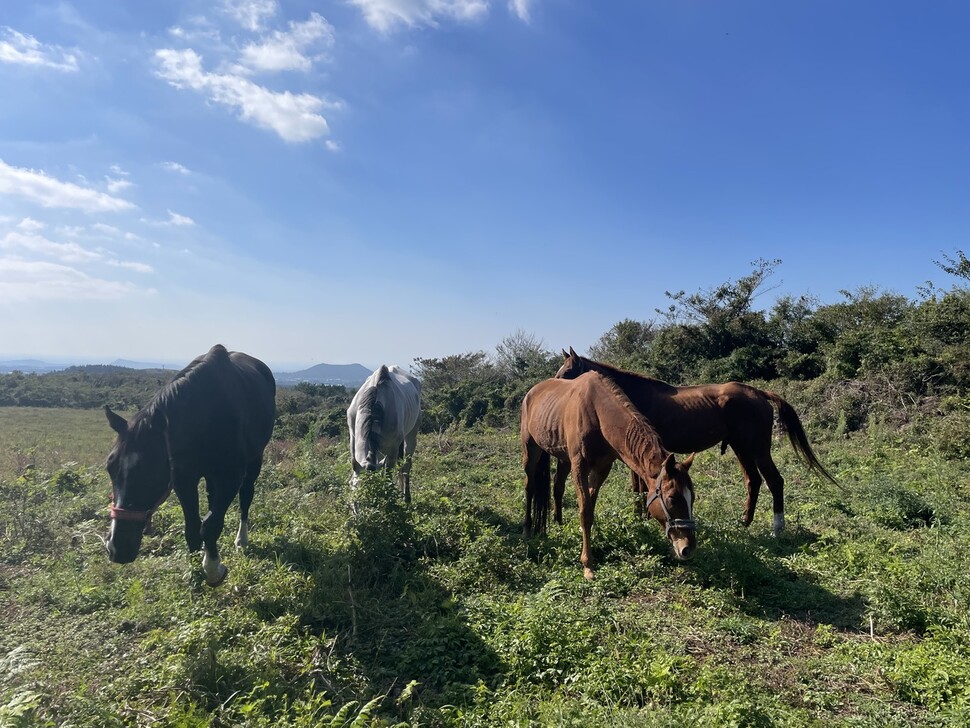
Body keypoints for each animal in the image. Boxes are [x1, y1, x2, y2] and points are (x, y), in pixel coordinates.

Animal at [103, 342, 274, 584]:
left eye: (151, 472)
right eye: (110, 467)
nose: (116, 548)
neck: (207, 414)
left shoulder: (230, 477)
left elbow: (211, 526)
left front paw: (213, 570)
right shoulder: (183, 478)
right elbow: (193, 528)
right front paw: (195, 570)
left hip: (254, 461)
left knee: (246, 496)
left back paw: (241, 540)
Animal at [350, 364, 422, 500]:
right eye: (353, 488)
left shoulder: (392, 449)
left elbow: (387, 476)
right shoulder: (353, 438)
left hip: (411, 435)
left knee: (406, 465)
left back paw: (406, 497)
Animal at [520, 372, 696, 576]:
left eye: (692, 498)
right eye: (672, 498)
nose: (688, 548)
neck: (597, 414)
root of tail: (531, 392)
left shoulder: (602, 468)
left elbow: (590, 507)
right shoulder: (579, 467)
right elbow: (585, 512)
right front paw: (587, 565)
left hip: (563, 457)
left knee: (558, 487)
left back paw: (559, 524)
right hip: (531, 449)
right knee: (530, 486)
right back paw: (526, 529)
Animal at [556, 346, 836, 536]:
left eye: (568, 371)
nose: (553, 387)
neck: (629, 395)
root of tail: (759, 393)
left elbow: (640, 488)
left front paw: (642, 517)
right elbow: (639, 487)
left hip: (758, 449)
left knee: (775, 481)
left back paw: (777, 529)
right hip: (741, 447)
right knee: (753, 481)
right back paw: (744, 522)